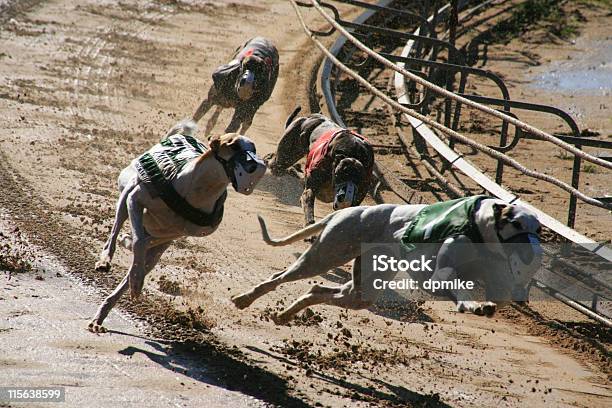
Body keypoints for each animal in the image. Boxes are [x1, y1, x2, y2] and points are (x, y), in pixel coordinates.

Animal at [88, 120, 266, 332]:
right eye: (233, 145)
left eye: (254, 149)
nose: (256, 165)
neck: (200, 189)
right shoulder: (136, 200)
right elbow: (138, 241)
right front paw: (133, 272)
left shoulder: (178, 233)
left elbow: (141, 247)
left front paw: (136, 279)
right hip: (127, 197)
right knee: (116, 233)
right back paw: (106, 261)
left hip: (160, 243)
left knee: (143, 256)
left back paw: (103, 313)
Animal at [232, 196, 544, 324]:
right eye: (516, 223)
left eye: (539, 229)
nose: (532, 252)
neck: (481, 227)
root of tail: (345, 211)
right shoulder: (440, 275)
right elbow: (459, 287)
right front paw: (473, 305)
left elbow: (499, 295)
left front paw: (486, 304)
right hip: (324, 256)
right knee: (279, 278)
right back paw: (244, 299)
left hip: (364, 288)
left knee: (318, 289)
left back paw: (284, 315)